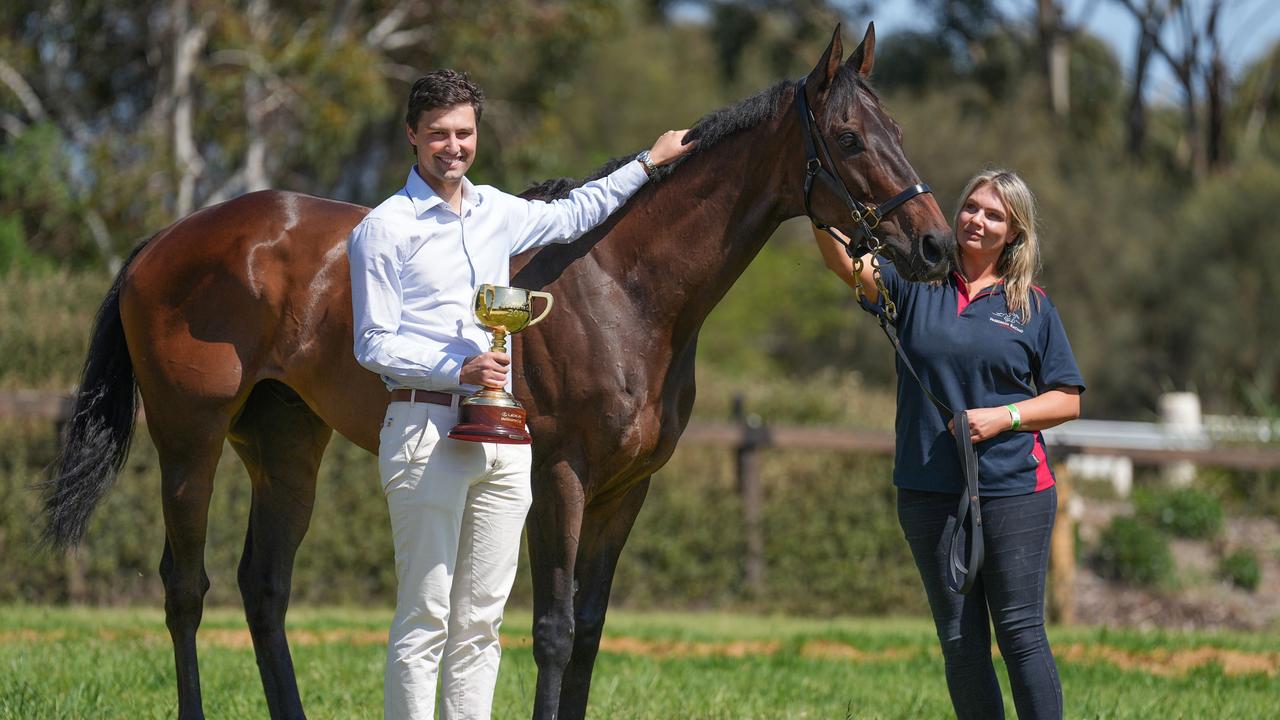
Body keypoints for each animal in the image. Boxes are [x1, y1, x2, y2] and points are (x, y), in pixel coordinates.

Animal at [42, 23, 952, 717]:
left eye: (902, 133)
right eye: (848, 138)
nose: (936, 246)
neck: (622, 284)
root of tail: (163, 242)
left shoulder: (627, 489)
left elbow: (589, 631)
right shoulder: (562, 475)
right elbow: (552, 630)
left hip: (286, 447)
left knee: (263, 588)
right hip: (188, 444)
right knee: (184, 589)